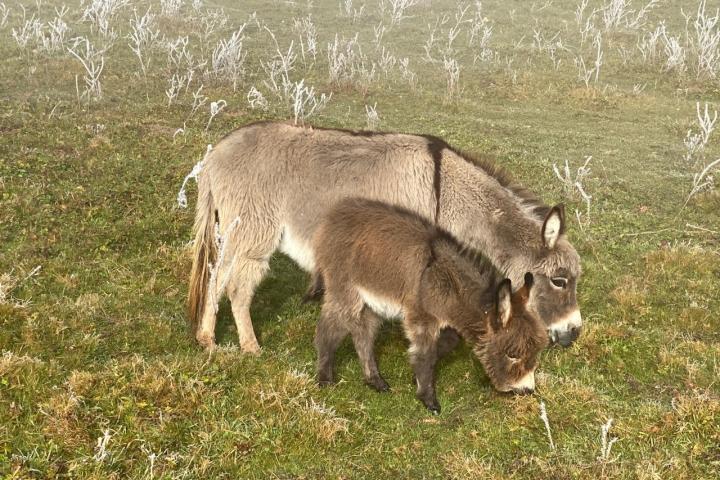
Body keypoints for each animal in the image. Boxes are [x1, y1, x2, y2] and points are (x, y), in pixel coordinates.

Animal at [306, 199, 548, 412]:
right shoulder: (422, 317)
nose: (527, 390)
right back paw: (325, 377)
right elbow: (427, 354)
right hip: (345, 291)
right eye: (512, 354)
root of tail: (332, 216)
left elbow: (444, 345)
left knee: (363, 335)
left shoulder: (445, 319)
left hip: (371, 304)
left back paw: (374, 380)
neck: (449, 282)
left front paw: (415, 374)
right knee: (328, 328)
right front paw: (427, 398)